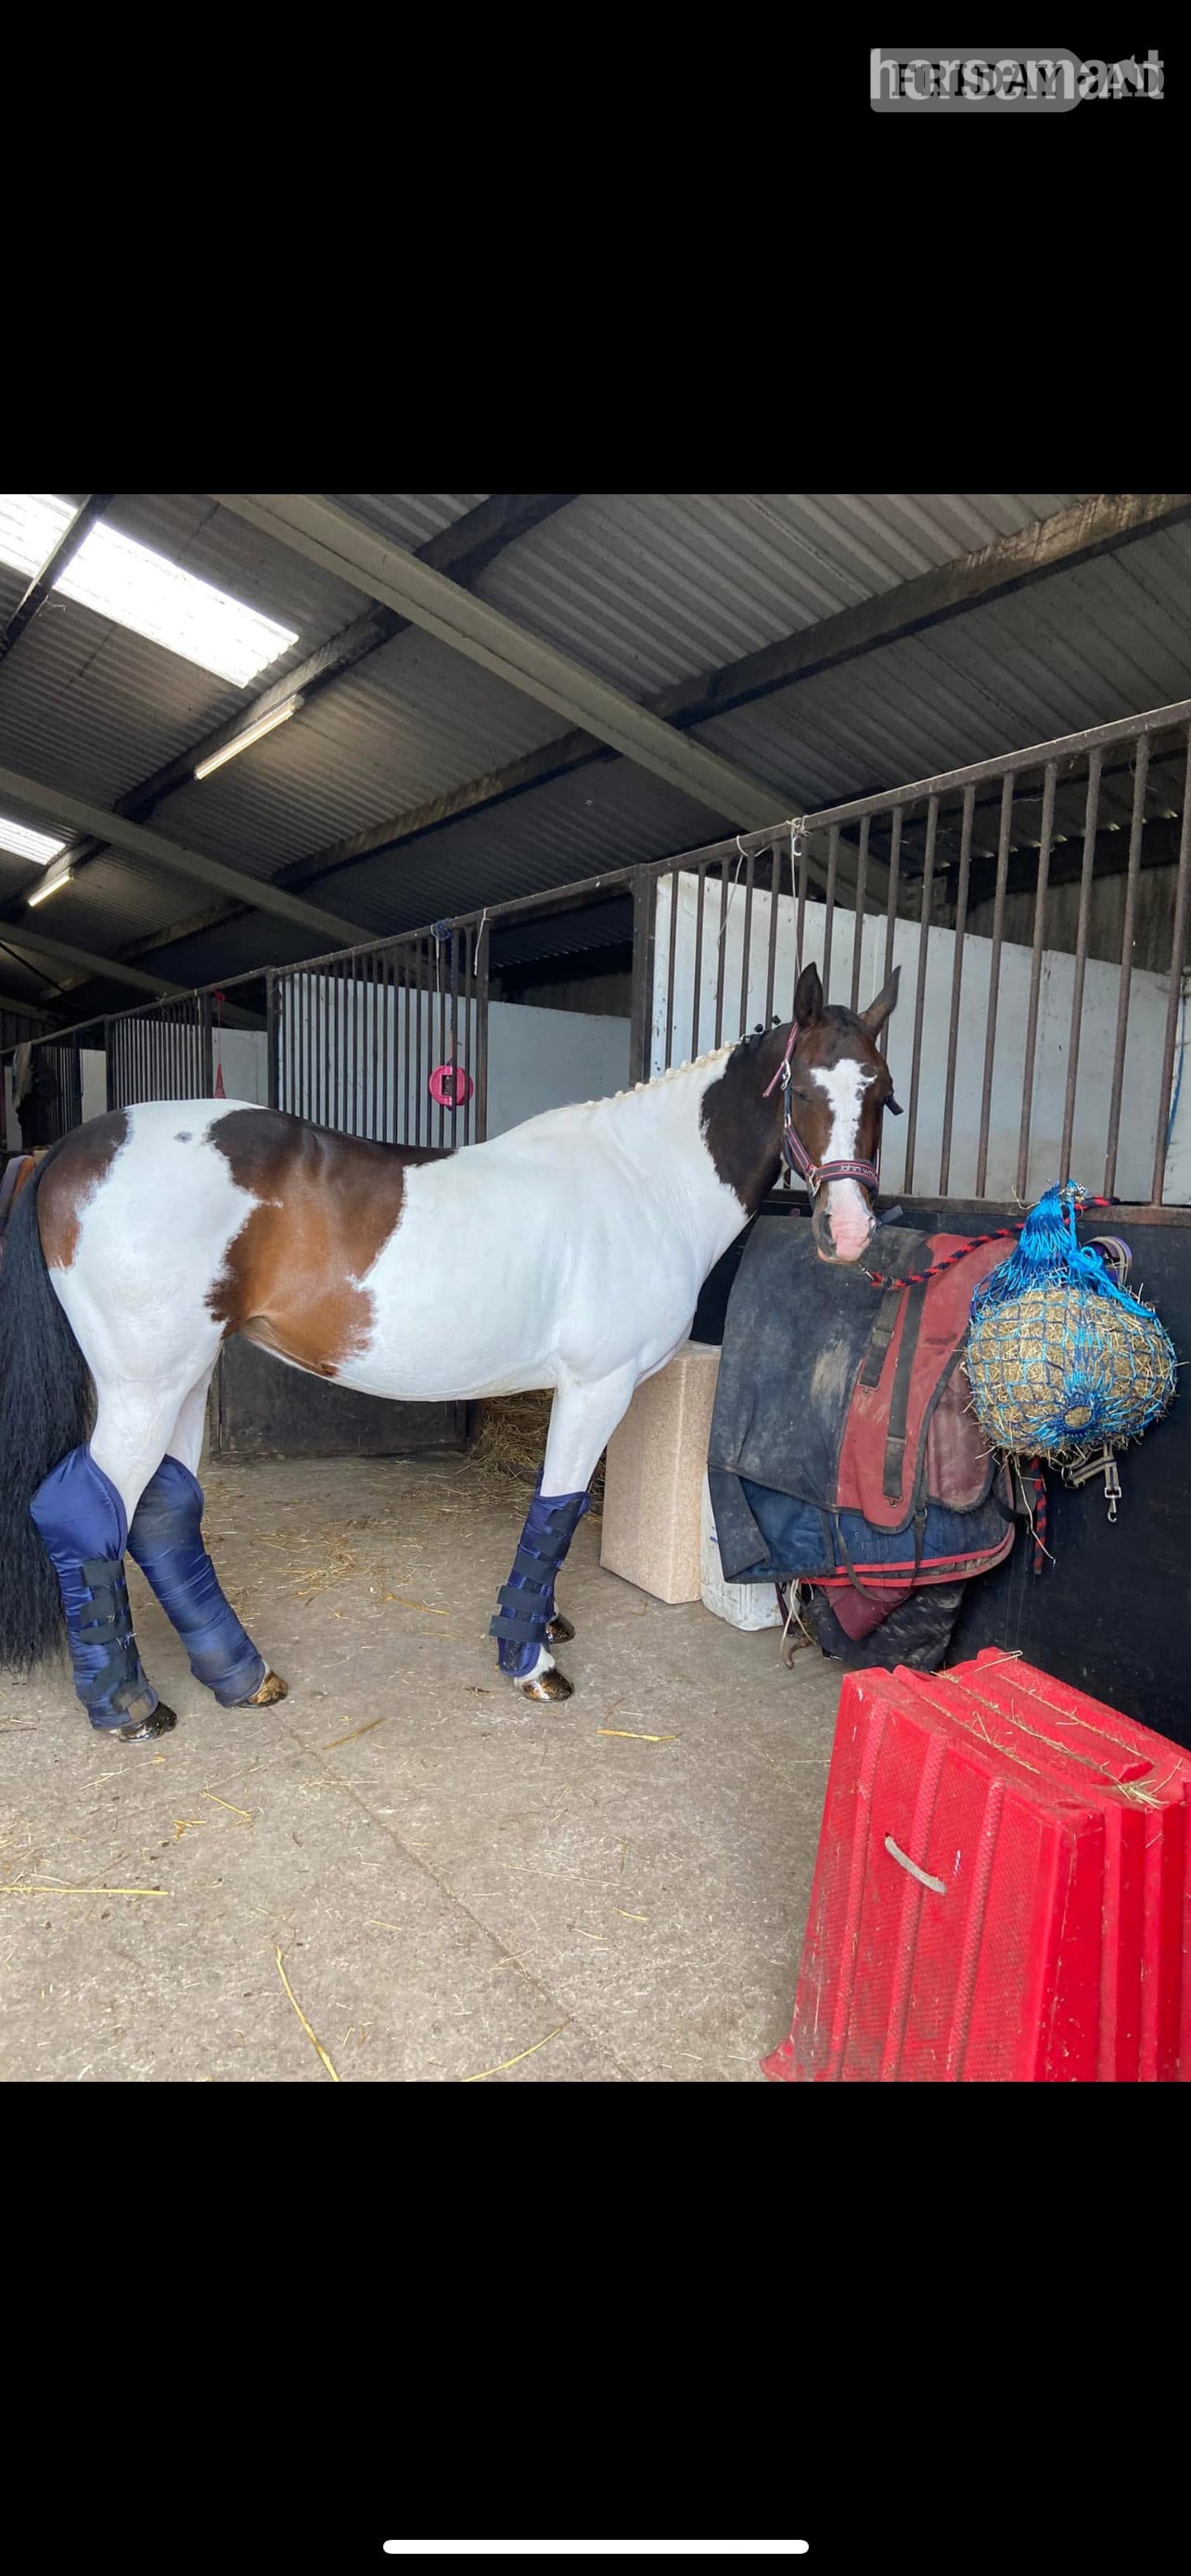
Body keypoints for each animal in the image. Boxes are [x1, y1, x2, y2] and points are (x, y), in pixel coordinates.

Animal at [0, 960, 899, 1743]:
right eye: (804, 1089)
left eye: (884, 1095)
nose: (849, 1233)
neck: (645, 1185)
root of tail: (71, 1147)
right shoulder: (597, 1385)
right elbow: (558, 1508)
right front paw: (530, 1661)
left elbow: (557, 1510)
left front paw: (543, 1626)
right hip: (144, 1386)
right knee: (85, 1510)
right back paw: (129, 1708)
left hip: (185, 1380)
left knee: (163, 1514)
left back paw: (240, 1677)